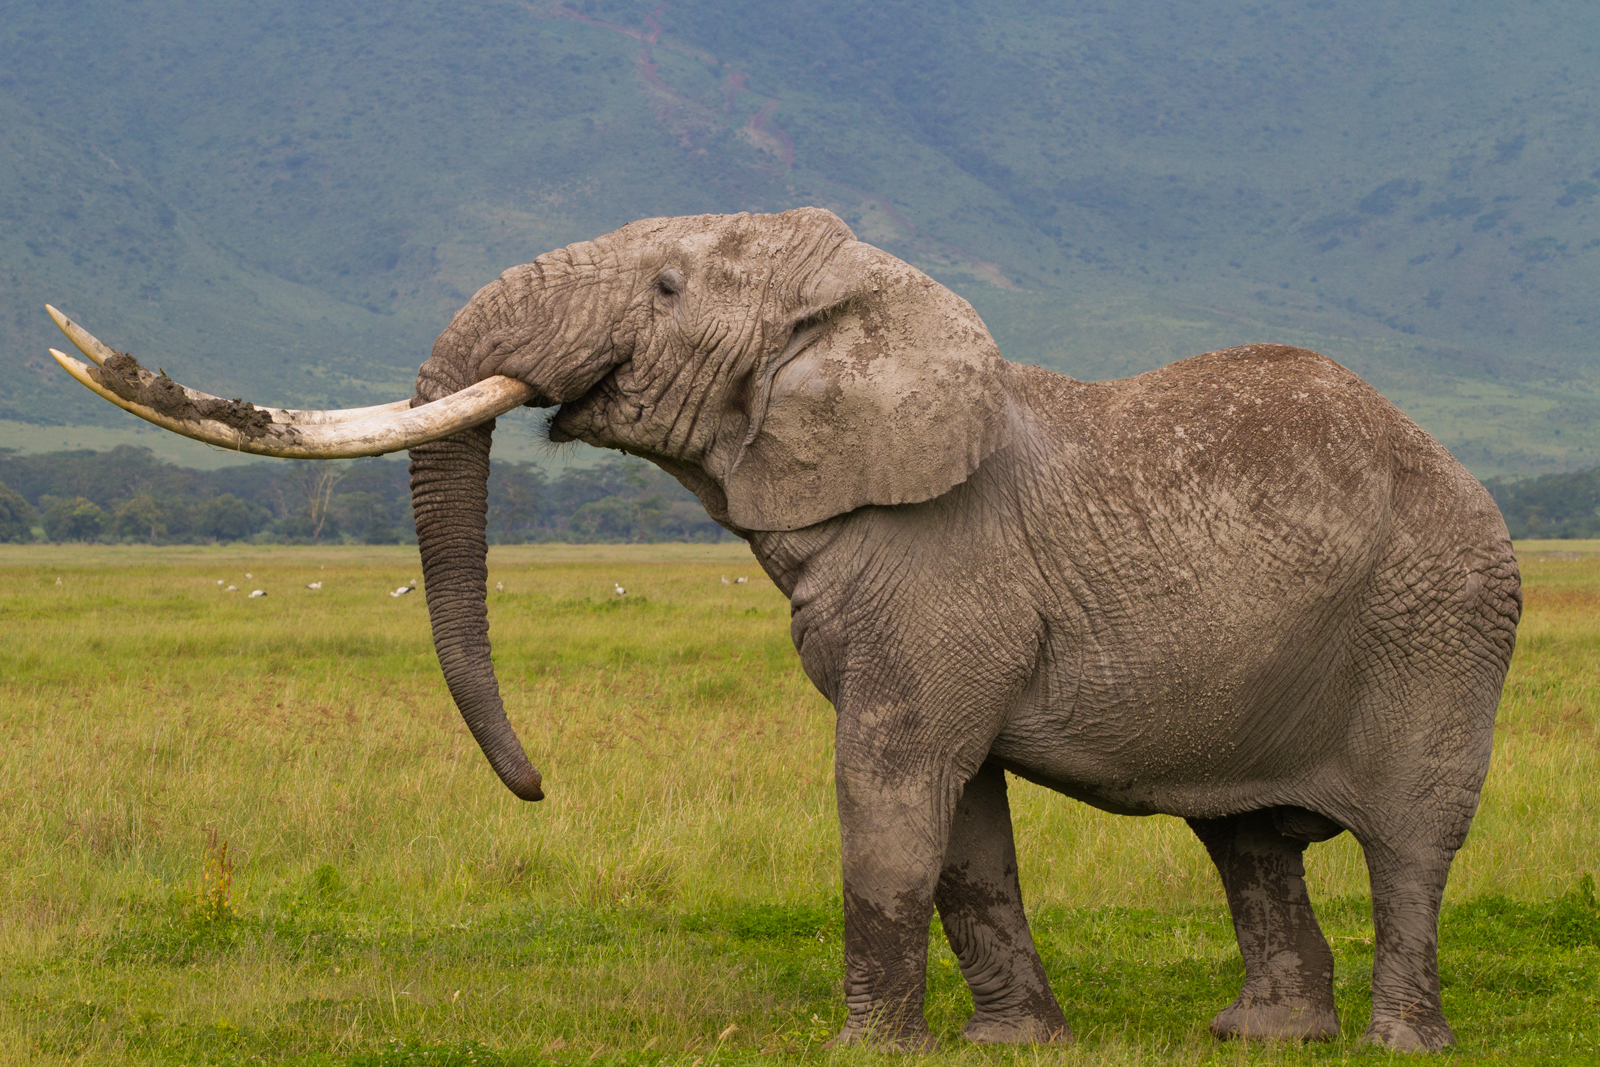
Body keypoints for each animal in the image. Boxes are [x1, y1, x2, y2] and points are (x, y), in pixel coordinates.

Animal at [50, 207, 1516, 1049]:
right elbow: (959, 821)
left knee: (1409, 845)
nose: (537, 783)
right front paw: (1011, 1045)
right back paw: (1261, 1033)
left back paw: (1395, 1041)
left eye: (664, 286)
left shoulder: (942, 574)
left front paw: (865, 1048)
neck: (873, 301)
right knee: (1249, 843)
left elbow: (890, 784)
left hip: (1442, 623)